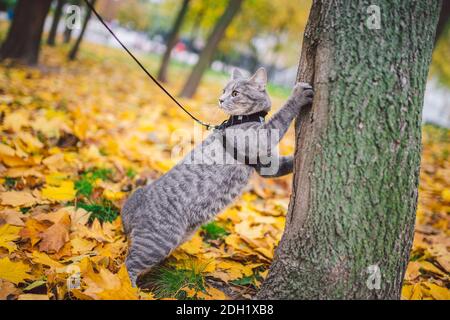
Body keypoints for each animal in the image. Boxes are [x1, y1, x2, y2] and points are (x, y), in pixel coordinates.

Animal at [121, 68, 314, 284]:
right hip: (158, 241)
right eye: (225, 91)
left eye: (235, 93)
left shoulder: (265, 164)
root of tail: (133, 205)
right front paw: (298, 95)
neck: (246, 118)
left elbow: (284, 164)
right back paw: (130, 288)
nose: (220, 99)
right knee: (129, 265)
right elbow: (281, 118)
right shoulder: (261, 137)